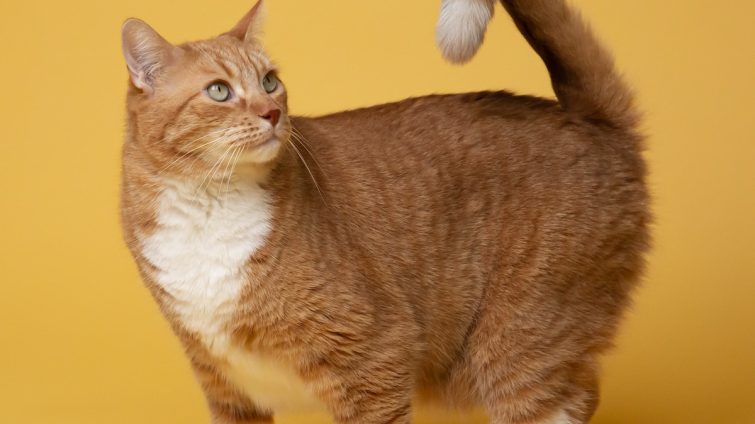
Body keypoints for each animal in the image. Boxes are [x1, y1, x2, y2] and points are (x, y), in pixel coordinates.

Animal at [118, 0, 648, 424]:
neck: (208, 205)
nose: (272, 113)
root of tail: (590, 120)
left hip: (518, 343)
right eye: (219, 91)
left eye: (270, 82)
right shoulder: (226, 387)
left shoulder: (375, 358)